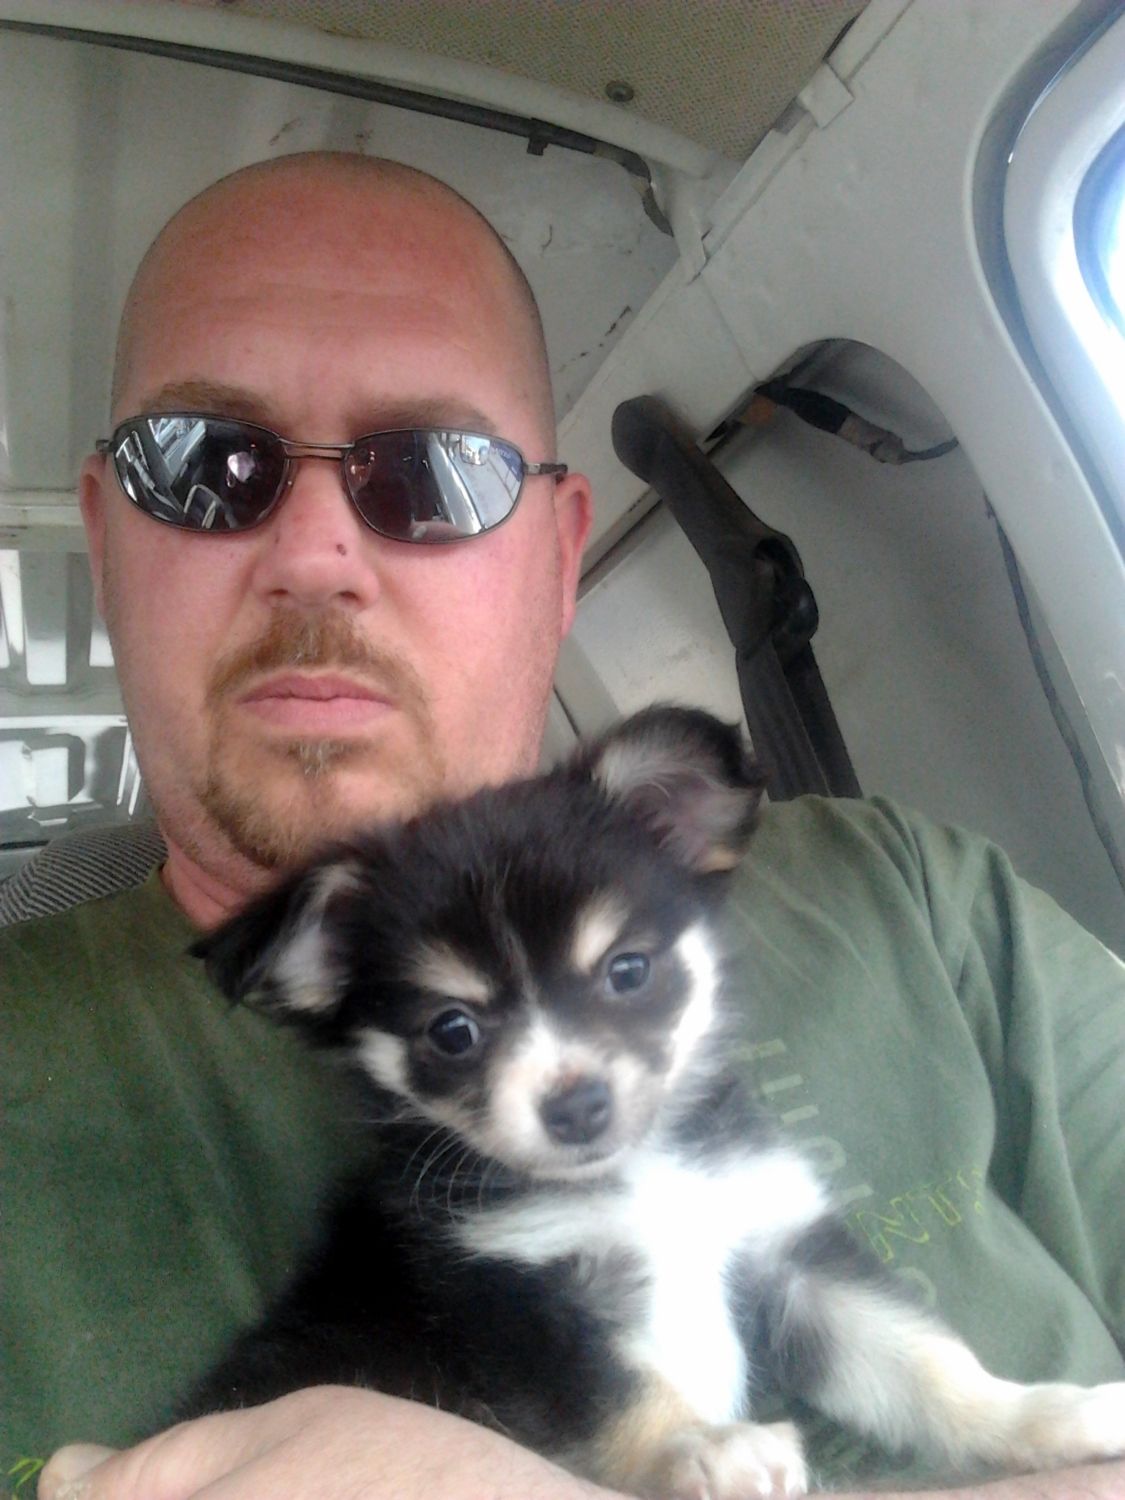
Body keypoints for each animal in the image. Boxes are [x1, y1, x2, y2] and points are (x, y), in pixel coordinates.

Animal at [185, 706, 1125, 1498]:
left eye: (627, 970)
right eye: (451, 1031)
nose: (576, 1107)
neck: (643, 1178)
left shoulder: (787, 1253)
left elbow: (925, 1364)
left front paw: (1044, 1416)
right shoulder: (510, 1299)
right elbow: (619, 1393)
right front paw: (701, 1447)